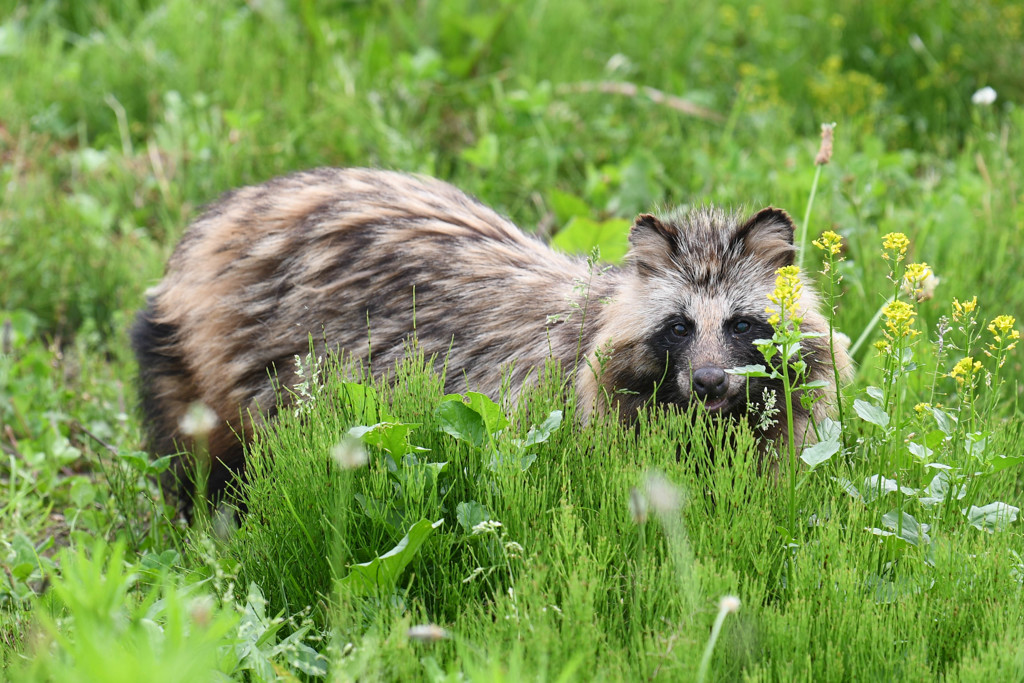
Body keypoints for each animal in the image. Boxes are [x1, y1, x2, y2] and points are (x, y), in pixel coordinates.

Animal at [132, 167, 851, 505]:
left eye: (742, 323)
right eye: (678, 326)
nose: (708, 382)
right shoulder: (567, 419)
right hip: (223, 365)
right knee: (205, 459)